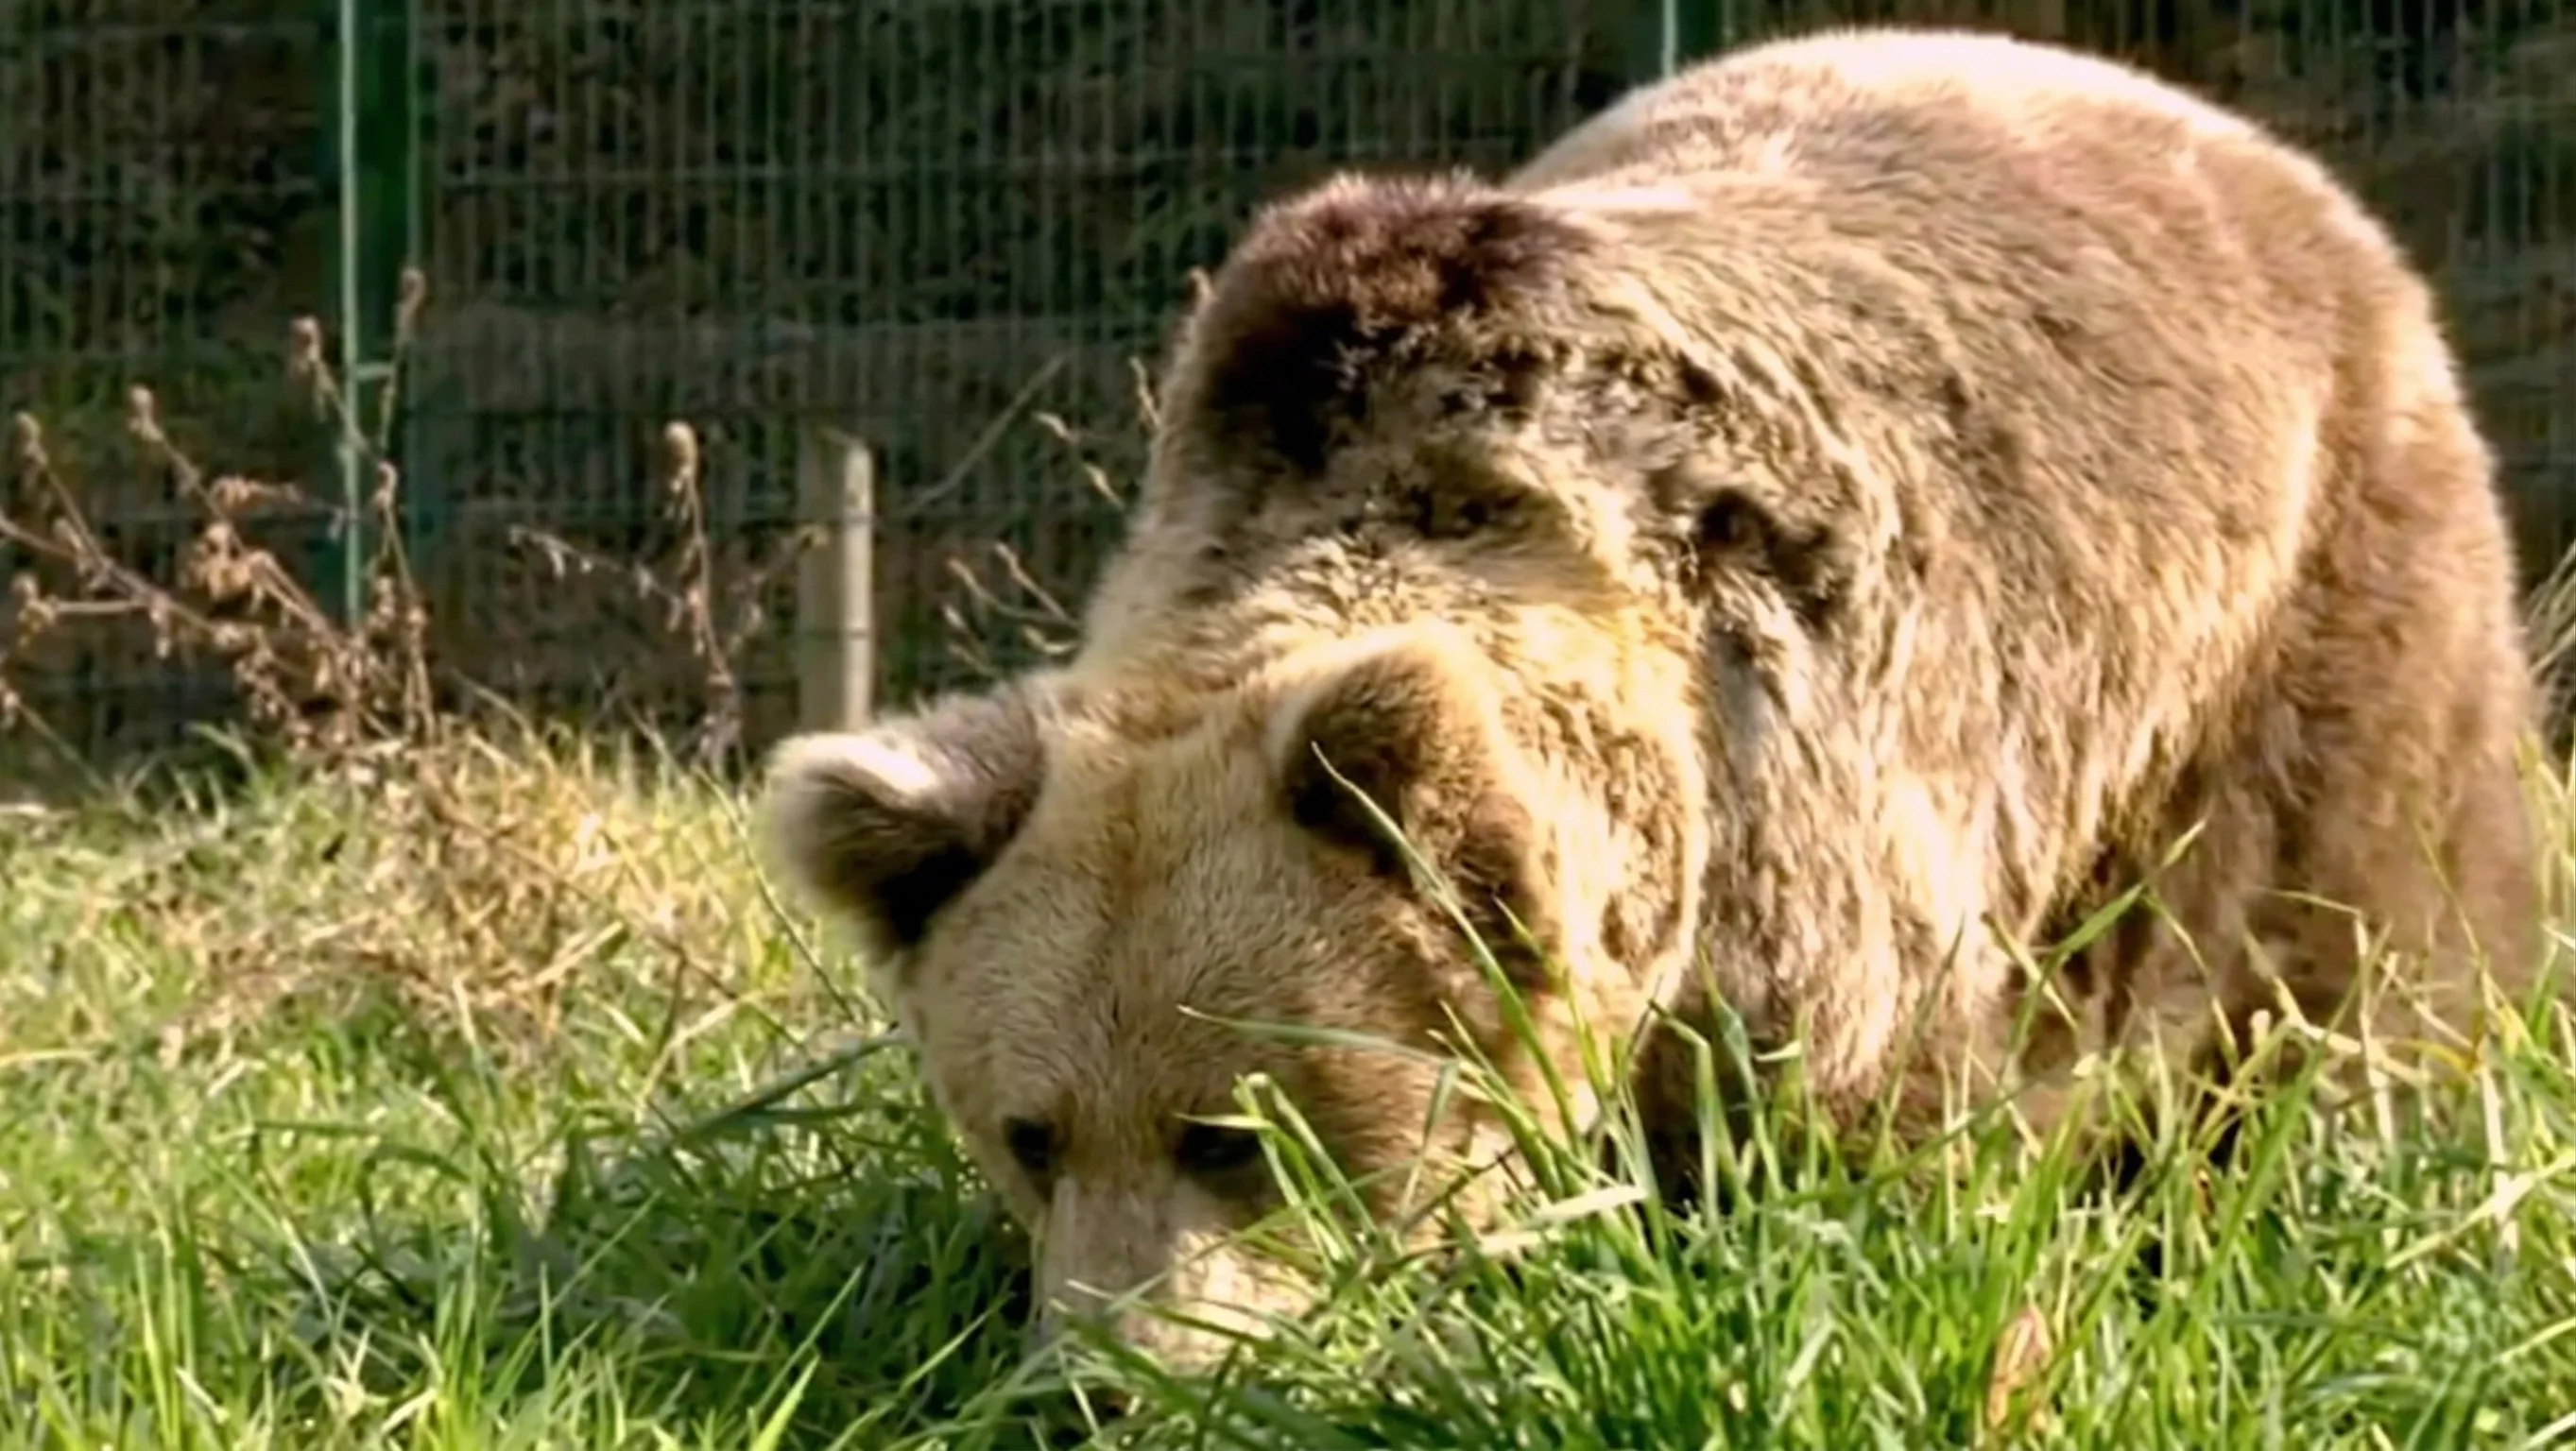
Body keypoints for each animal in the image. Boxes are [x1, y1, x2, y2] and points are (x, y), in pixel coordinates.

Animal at [760, 25, 2551, 1378]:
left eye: (1239, 1134)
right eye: (1027, 1133)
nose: (1109, 1384)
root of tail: (2244, 147)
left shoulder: (1822, 809)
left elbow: (1868, 1165)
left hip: (2303, 616)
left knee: (2352, 962)